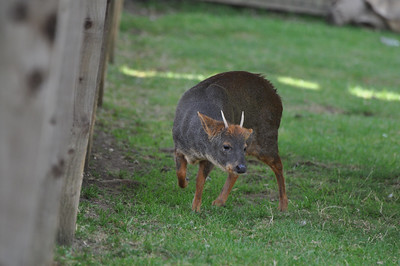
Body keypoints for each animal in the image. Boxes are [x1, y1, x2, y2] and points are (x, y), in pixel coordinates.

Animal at [172, 70, 288, 212]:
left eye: (244, 147)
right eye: (226, 146)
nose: (242, 167)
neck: (195, 147)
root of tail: (277, 97)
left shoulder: (210, 156)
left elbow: (200, 180)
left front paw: (195, 209)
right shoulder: (179, 148)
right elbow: (180, 173)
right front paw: (186, 183)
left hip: (266, 138)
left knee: (278, 165)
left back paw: (283, 206)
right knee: (235, 173)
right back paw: (219, 202)